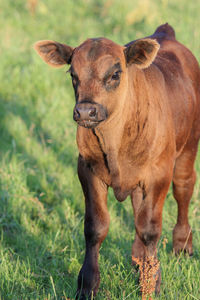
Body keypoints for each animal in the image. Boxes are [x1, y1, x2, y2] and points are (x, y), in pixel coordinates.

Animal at [34, 24, 200, 298]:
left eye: (115, 74)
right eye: (73, 74)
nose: (85, 111)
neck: (115, 144)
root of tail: (165, 33)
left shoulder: (159, 174)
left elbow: (150, 229)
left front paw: (152, 283)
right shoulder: (87, 169)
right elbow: (95, 227)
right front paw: (87, 285)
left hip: (188, 146)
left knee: (184, 188)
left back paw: (182, 246)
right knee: (137, 206)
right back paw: (138, 261)